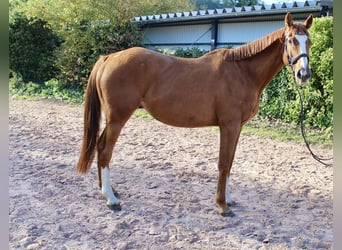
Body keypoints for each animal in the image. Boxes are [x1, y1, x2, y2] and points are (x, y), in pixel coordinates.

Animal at [77, 12, 312, 216]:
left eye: (309, 41)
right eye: (291, 40)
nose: (304, 74)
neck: (242, 72)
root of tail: (109, 58)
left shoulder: (237, 127)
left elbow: (230, 162)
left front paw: (228, 198)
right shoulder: (229, 125)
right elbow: (223, 163)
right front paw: (221, 205)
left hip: (112, 120)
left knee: (99, 146)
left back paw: (108, 190)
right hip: (117, 119)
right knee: (105, 151)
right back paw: (111, 198)